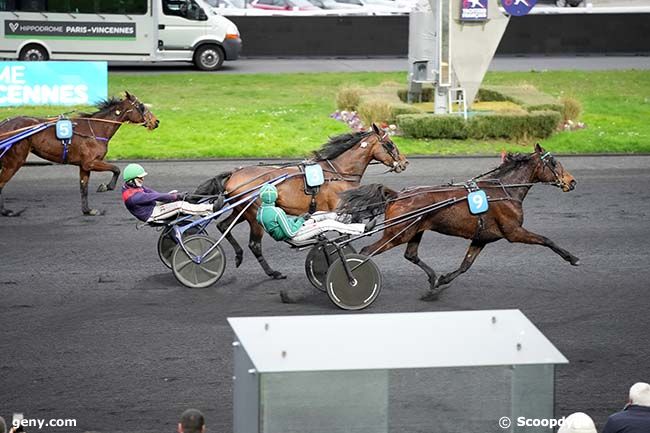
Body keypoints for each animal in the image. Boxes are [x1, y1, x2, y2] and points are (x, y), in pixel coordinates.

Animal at [0, 93, 157, 218]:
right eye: (141, 106)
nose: (156, 121)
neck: (96, 129)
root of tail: (4, 125)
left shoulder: (84, 166)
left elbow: (84, 188)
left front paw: (88, 210)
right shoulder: (91, 162)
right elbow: (116, 169)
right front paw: (105, 186)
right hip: (15, 161)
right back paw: (6, 211)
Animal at [192, 123, 408, 278]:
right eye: (390, 144)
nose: (404, 162)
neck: (337, 172)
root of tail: (234, 173)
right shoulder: (339, 209)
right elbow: (344, 236)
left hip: (241, 211)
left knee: (223, 226)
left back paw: (238, 256)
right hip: (254, 214)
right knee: (254, 244)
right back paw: (273, 272)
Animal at [336, 143, 580, 298]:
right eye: (554, 163)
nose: (572, 182)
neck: (504, 191)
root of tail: (396, 195)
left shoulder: (482, 238)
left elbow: (465, 265)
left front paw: (441, 281)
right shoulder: (513, 231)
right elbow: (546, 240)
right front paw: (572, 258)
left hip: (415, 230)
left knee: (411, 254)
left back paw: (433, 278)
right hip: (398, 233)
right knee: (367, 251)